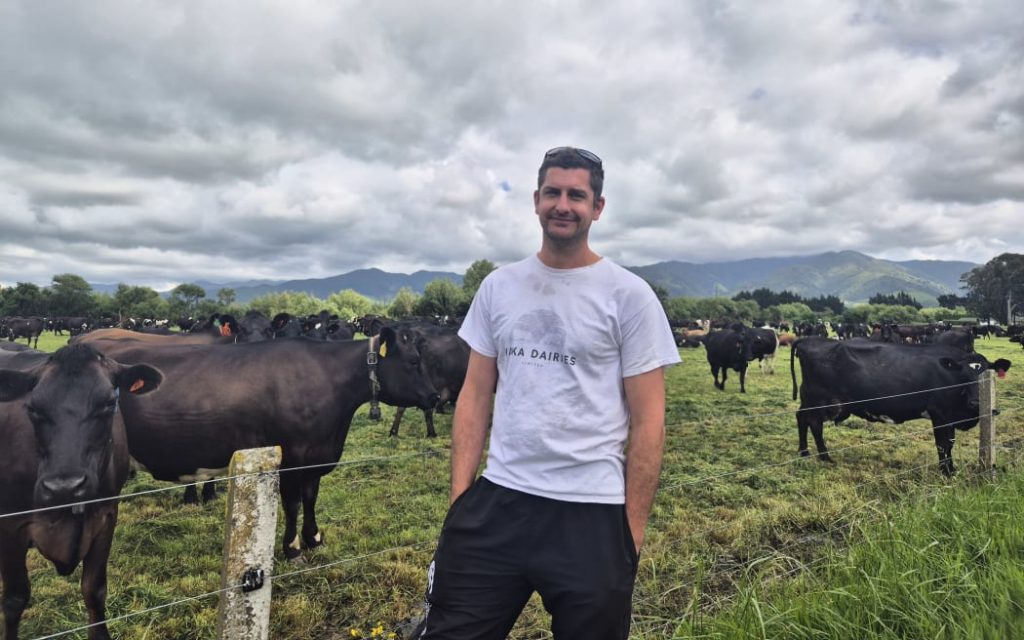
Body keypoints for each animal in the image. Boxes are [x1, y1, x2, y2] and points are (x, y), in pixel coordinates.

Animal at [0, 344, 161, 638]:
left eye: (108, 404)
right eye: (33, 409)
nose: (65, 486)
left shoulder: (106, 516)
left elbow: (94, 590)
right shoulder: (9, 526)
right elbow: (14, 600)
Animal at [74, 327, 436, 557]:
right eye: (413, 361)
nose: (436, 396)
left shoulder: (315, 457)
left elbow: (311, 497)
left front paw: (314, 538)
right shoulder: (290, 457)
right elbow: (292, 503)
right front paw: (292, 548)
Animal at [790, 339, 1007, 475]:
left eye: (987, 373)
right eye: (963, 375)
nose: (976, 402)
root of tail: (809, 340)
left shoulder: (950, 417)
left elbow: (950, 443)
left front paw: (951, 469)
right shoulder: (940, 413)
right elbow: (943, 444)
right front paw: (946, 472)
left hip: (815, 401)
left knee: (802, 418)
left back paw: (806, 452)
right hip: (820, 400)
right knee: (812, 422)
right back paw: (822, 456)